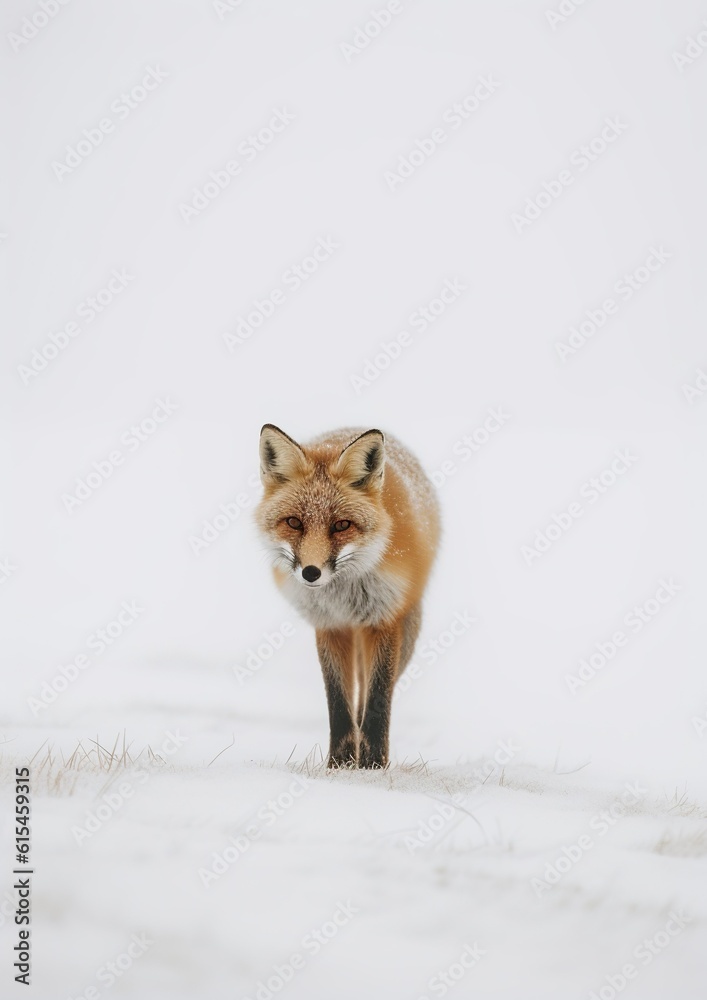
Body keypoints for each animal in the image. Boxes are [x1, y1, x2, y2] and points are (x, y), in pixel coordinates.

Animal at [256, 424, 440, 769]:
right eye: (294, 522)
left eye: (342, 525)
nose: (311, 573)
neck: (344, 596)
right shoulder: (330, 625)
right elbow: (338, 702)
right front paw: (339, 765)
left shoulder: (383, 619)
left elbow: (377, 697)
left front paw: (372, 765)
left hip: (406, 631)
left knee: (369, 692)